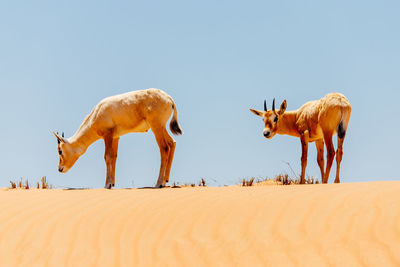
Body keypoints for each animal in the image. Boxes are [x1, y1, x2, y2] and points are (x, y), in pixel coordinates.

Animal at [52, 89, 183, 189]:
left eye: (60, 151)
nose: (60, 169)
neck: (97, 112)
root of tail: (169, 99)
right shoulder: (116, 137)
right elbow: (114, 157)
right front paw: (112, 183)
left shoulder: (107, 135)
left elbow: (107, 157)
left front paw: (107, 185)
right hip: (161, 127)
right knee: (172, 143)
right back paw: (165, 181)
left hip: (156, 126)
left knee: (164, 147)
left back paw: (159, 183)